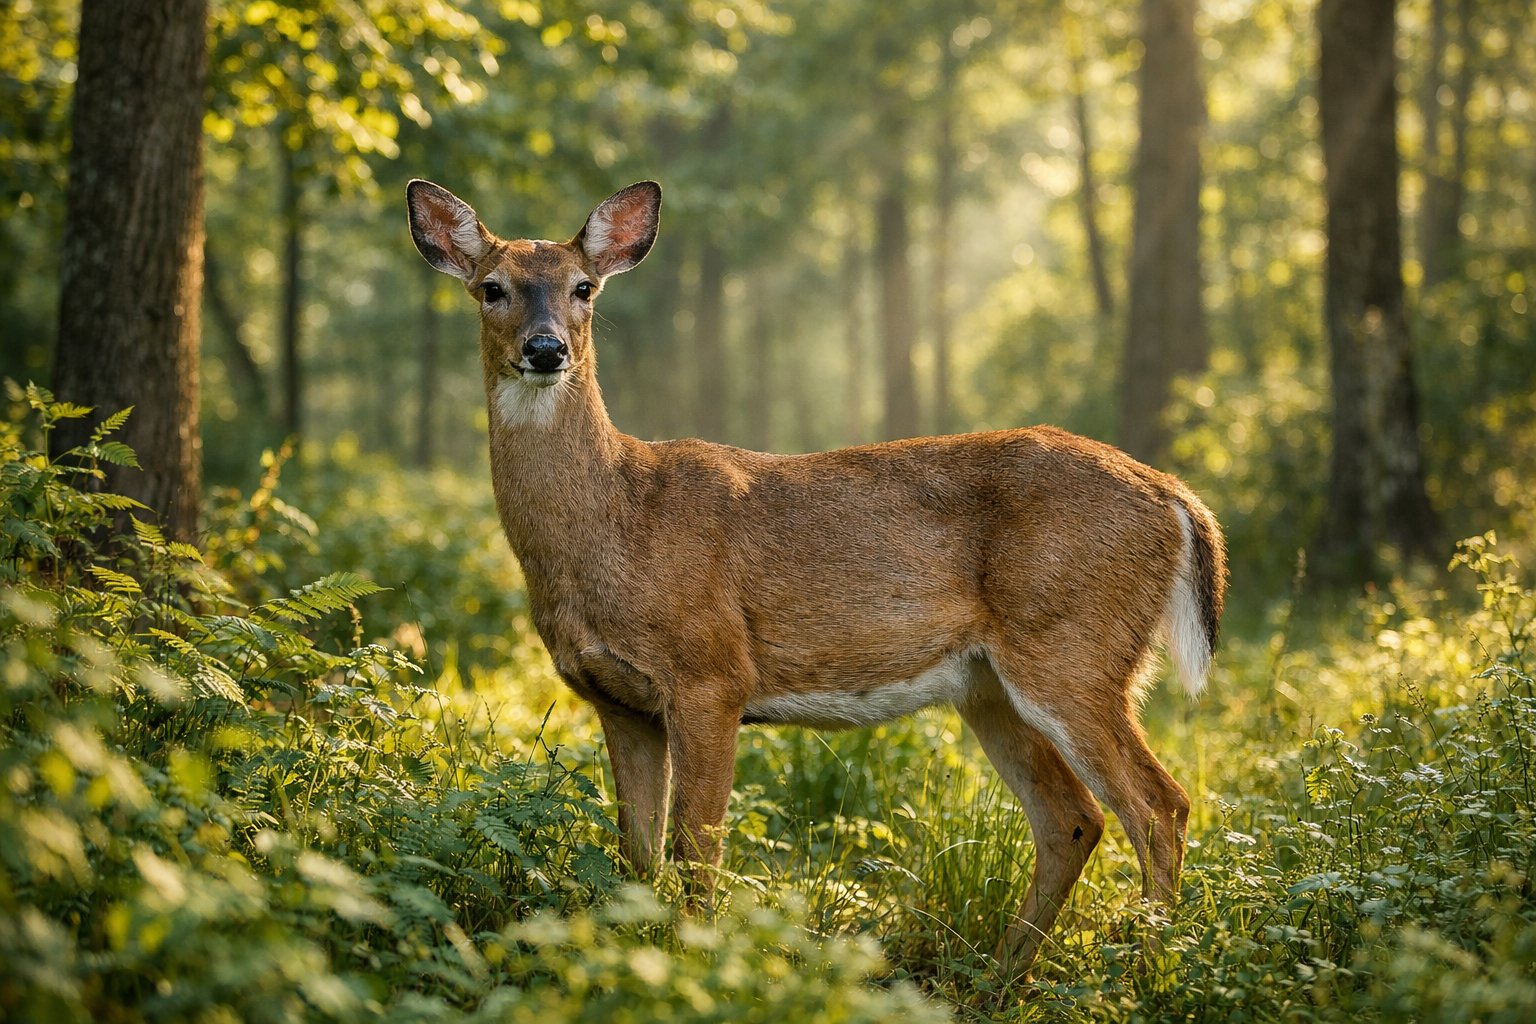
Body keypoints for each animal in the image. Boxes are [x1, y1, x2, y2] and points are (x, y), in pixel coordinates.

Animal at [405, 177, 1228, 976]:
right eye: (492, 288)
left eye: (583, 287)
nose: (546, 350)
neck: (617, 521)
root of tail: (1176, 497)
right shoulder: (618, 700)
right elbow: (636, 857)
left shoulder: (712, 673)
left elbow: (696, 853)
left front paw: (694, 966)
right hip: (991, 684)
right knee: (1073, 817)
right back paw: (1000, 980)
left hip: (1074, 647)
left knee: (1160, 806)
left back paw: (1143, 974)